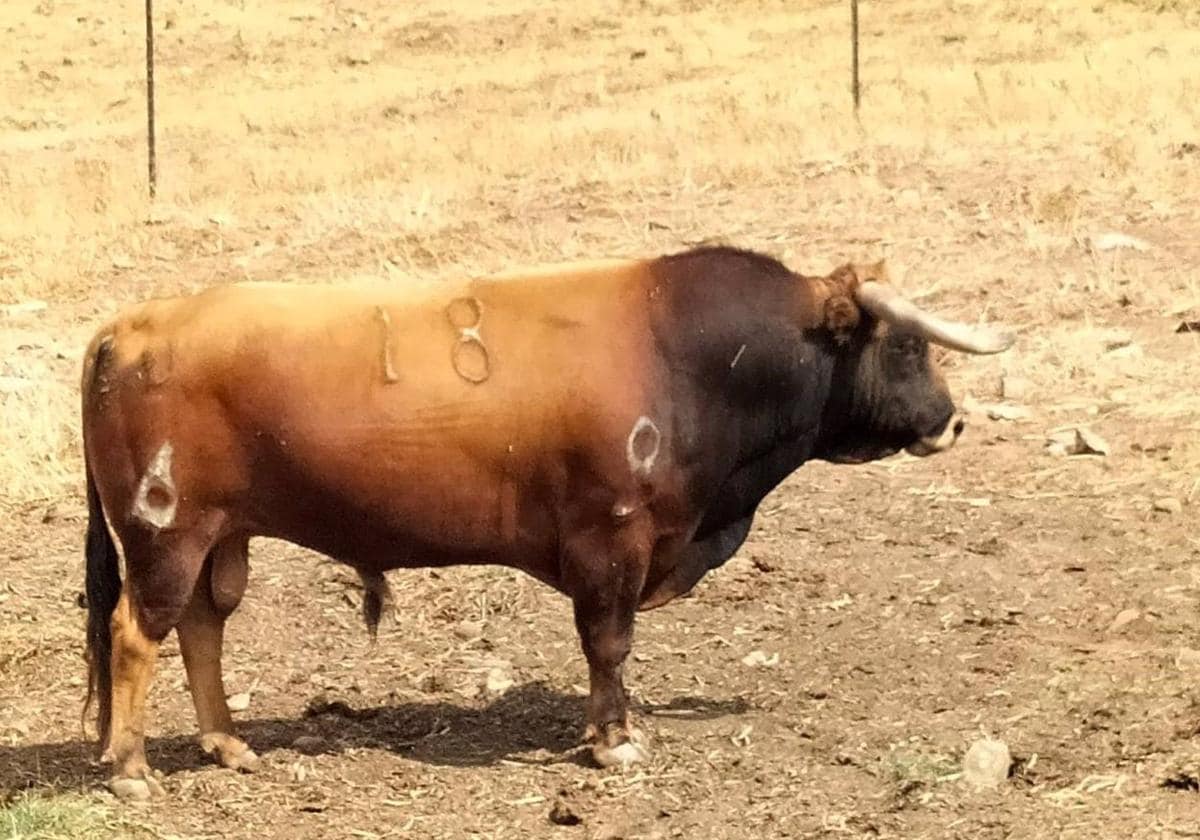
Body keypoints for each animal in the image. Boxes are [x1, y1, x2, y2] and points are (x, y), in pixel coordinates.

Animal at [77, 246, 1012, 796]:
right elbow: (609, 643)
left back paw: (225, 743)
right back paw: (130, 769)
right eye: (905, 347)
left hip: (218, 537)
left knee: (202, 627)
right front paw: (613, 740)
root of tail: (129, 325)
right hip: (166, 533)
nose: (953, 422)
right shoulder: (612, 540)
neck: (692, 356)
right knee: (135, 633)